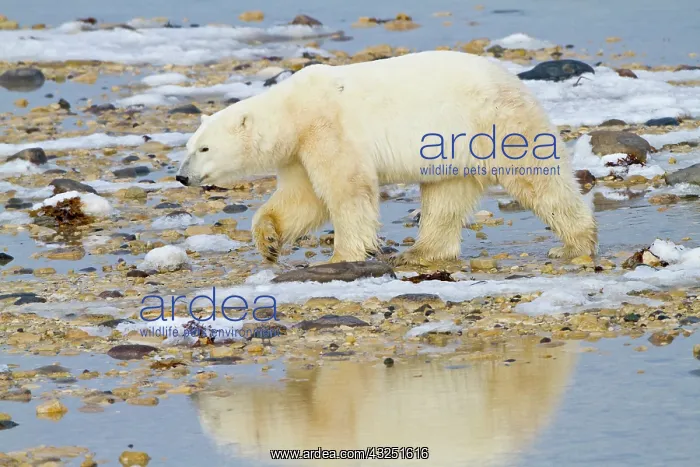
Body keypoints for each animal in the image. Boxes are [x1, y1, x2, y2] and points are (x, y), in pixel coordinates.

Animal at [176, 50, 597, 266]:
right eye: (189, 147)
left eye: (204, 149)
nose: (181, 177)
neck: (292, 111)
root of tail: (515, 81)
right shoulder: (298, 151)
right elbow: (302, 199)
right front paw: (268, 241)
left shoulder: (327, 127)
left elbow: (347, 189)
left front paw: (342, 255)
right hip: (455, 148)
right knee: (446, 195)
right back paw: (421, 251)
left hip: (495, 124)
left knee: (538, 179)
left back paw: (573, 244)